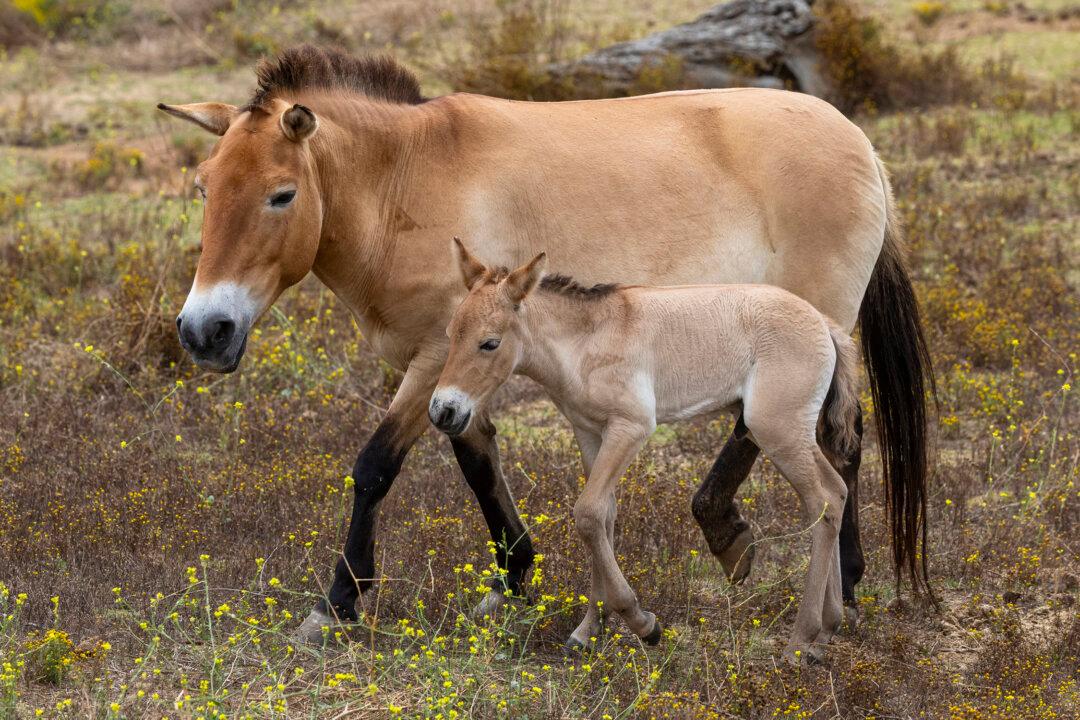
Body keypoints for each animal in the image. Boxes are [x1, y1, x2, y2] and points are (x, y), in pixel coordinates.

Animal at [429, 240, 861, 663]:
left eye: (489, 343)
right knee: (837, 493)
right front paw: (589, 632)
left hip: (776, 431)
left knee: (821, 502)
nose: (443, 411)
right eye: (450, 332)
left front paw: (642, 623)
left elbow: (587, 513)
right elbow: (603, 518)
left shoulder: (630, 428)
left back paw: (801, 640)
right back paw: (827, 630)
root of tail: (825, 325)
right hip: (792, 434)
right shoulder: (590, 433)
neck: (587, 341)